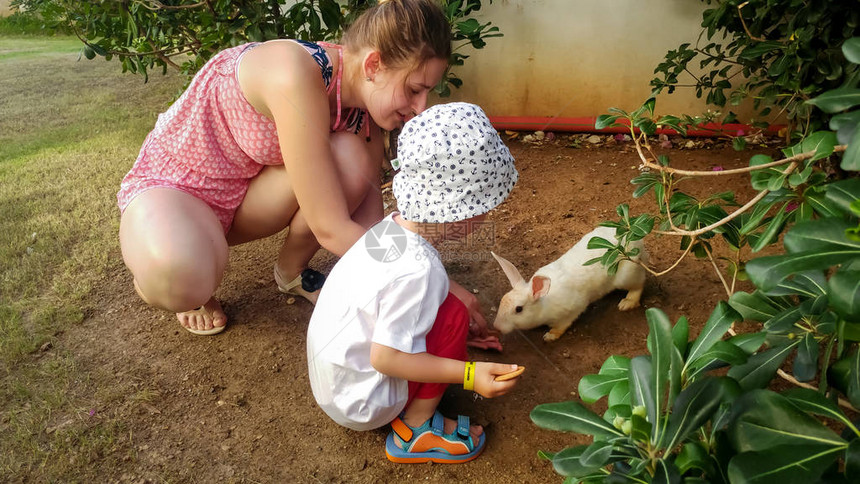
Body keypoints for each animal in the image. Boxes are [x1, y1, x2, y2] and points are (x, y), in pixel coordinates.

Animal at [490, 226, 644, 342]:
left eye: (518, 309)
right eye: (502, 301)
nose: (496, 327)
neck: (543, 304)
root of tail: (637, 242)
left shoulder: (573, 309)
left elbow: (563, 325)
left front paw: (550, 336)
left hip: (627, 276)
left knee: (639, 285)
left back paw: (627, 303)